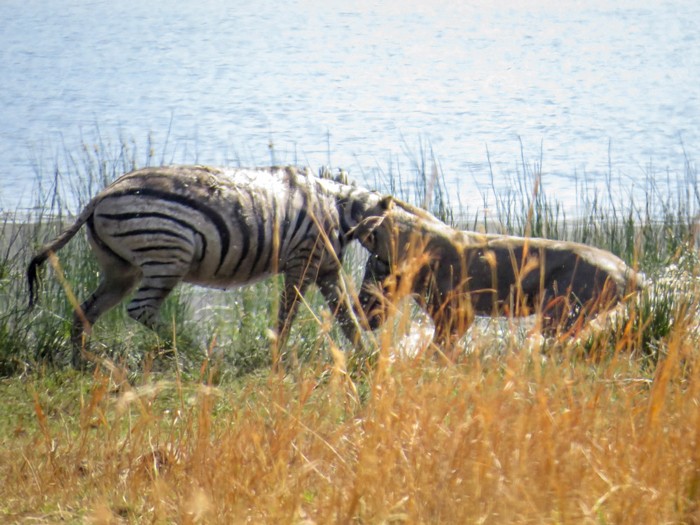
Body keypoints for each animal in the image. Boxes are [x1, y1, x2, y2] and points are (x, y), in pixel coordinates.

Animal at [27, 166, 394, 366]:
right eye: (386, 269)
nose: (376, 319)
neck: (336, 211)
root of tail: (100, 196)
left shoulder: (326, 269)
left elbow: (345, 317)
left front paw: (367, 357)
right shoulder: (302, 261)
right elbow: (288, 313)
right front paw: (276, 356)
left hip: (121, 270)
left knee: (84, 311)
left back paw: (83, 363)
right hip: (168, 254)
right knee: (139, 309)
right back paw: (193, 349)